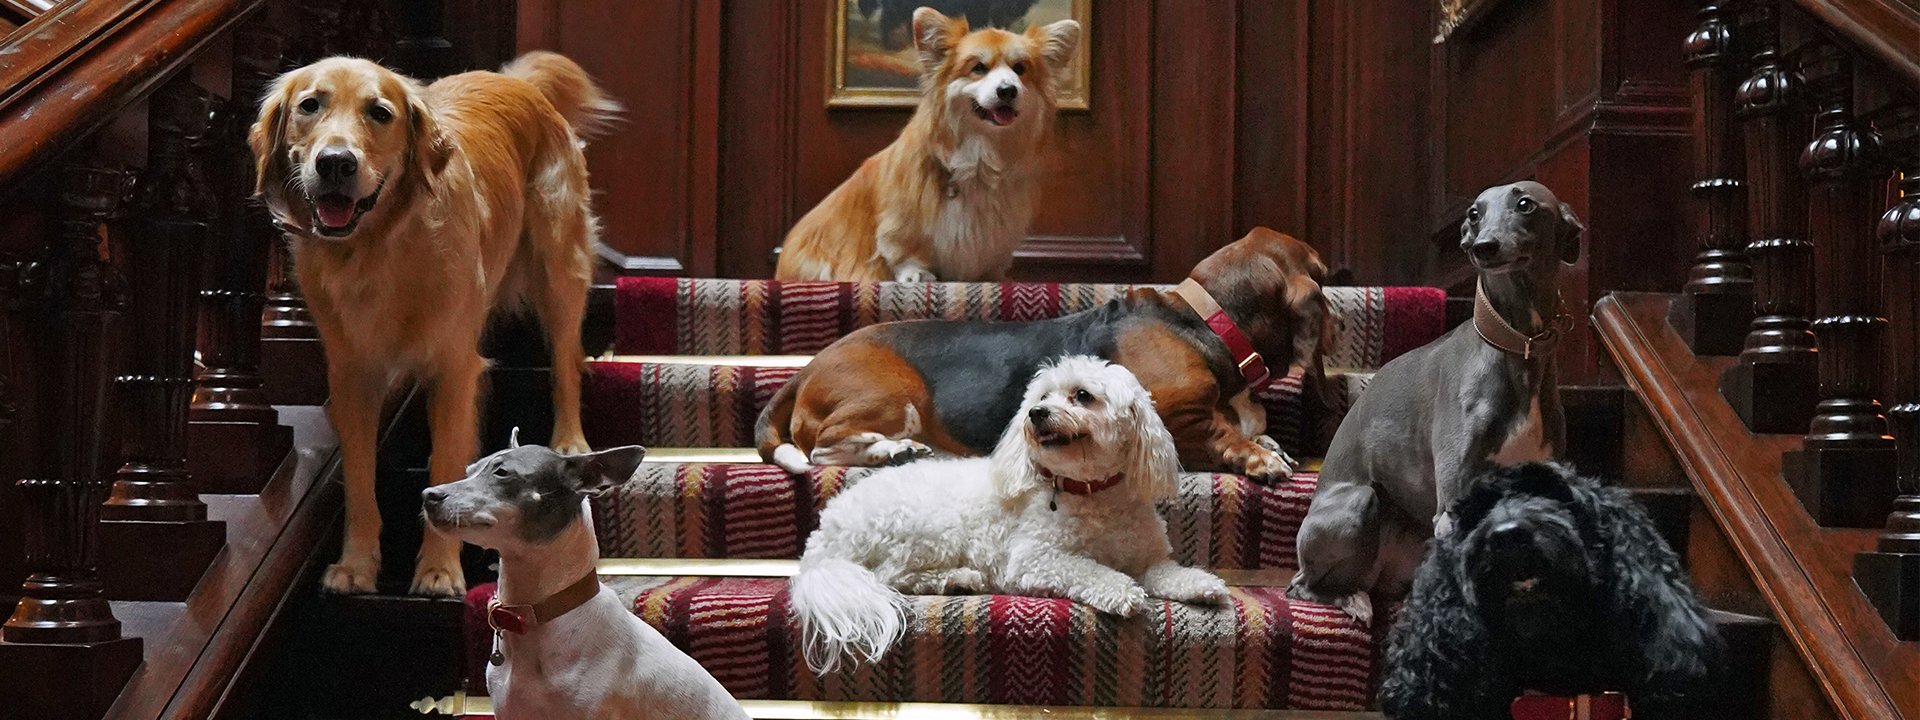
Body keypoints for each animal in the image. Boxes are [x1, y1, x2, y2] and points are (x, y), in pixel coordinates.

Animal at [783, 357, 1221, 675]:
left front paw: (1203, 584)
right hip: (926, 529)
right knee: (891, 574)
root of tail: (821, 539)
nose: (1037, 414)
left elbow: (1169, 572)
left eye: (1082, 396)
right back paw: (956, 578)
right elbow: (1088, 569)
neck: (1088, 489)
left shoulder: (1148, 558)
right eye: (1042, 396)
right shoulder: (1034, 561)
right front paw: (1120, 590)